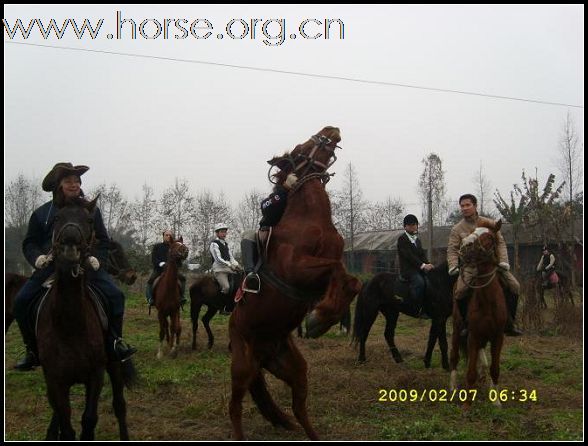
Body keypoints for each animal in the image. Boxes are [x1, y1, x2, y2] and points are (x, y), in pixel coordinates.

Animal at [227, 125, 360, 440]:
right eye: (300, 150)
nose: (331, 129)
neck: (310, 217)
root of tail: (262, 355)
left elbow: (351, 281)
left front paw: (321, 319)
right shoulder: (297, 268)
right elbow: (338, 271)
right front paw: (319, 318)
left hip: (294, 368)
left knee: (299, 408)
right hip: (241, 367)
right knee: (234, 407)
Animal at [450, 220, 506, 412]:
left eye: (489, 237)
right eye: (472, 232)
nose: (464, 245)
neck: (487, 301)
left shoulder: (498, 337)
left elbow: (494, 368)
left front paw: (496, 401)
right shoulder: (473, 336)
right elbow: (470, 372)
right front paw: (467, 404)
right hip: (457, 329)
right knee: (454, 357)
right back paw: (453, 388)